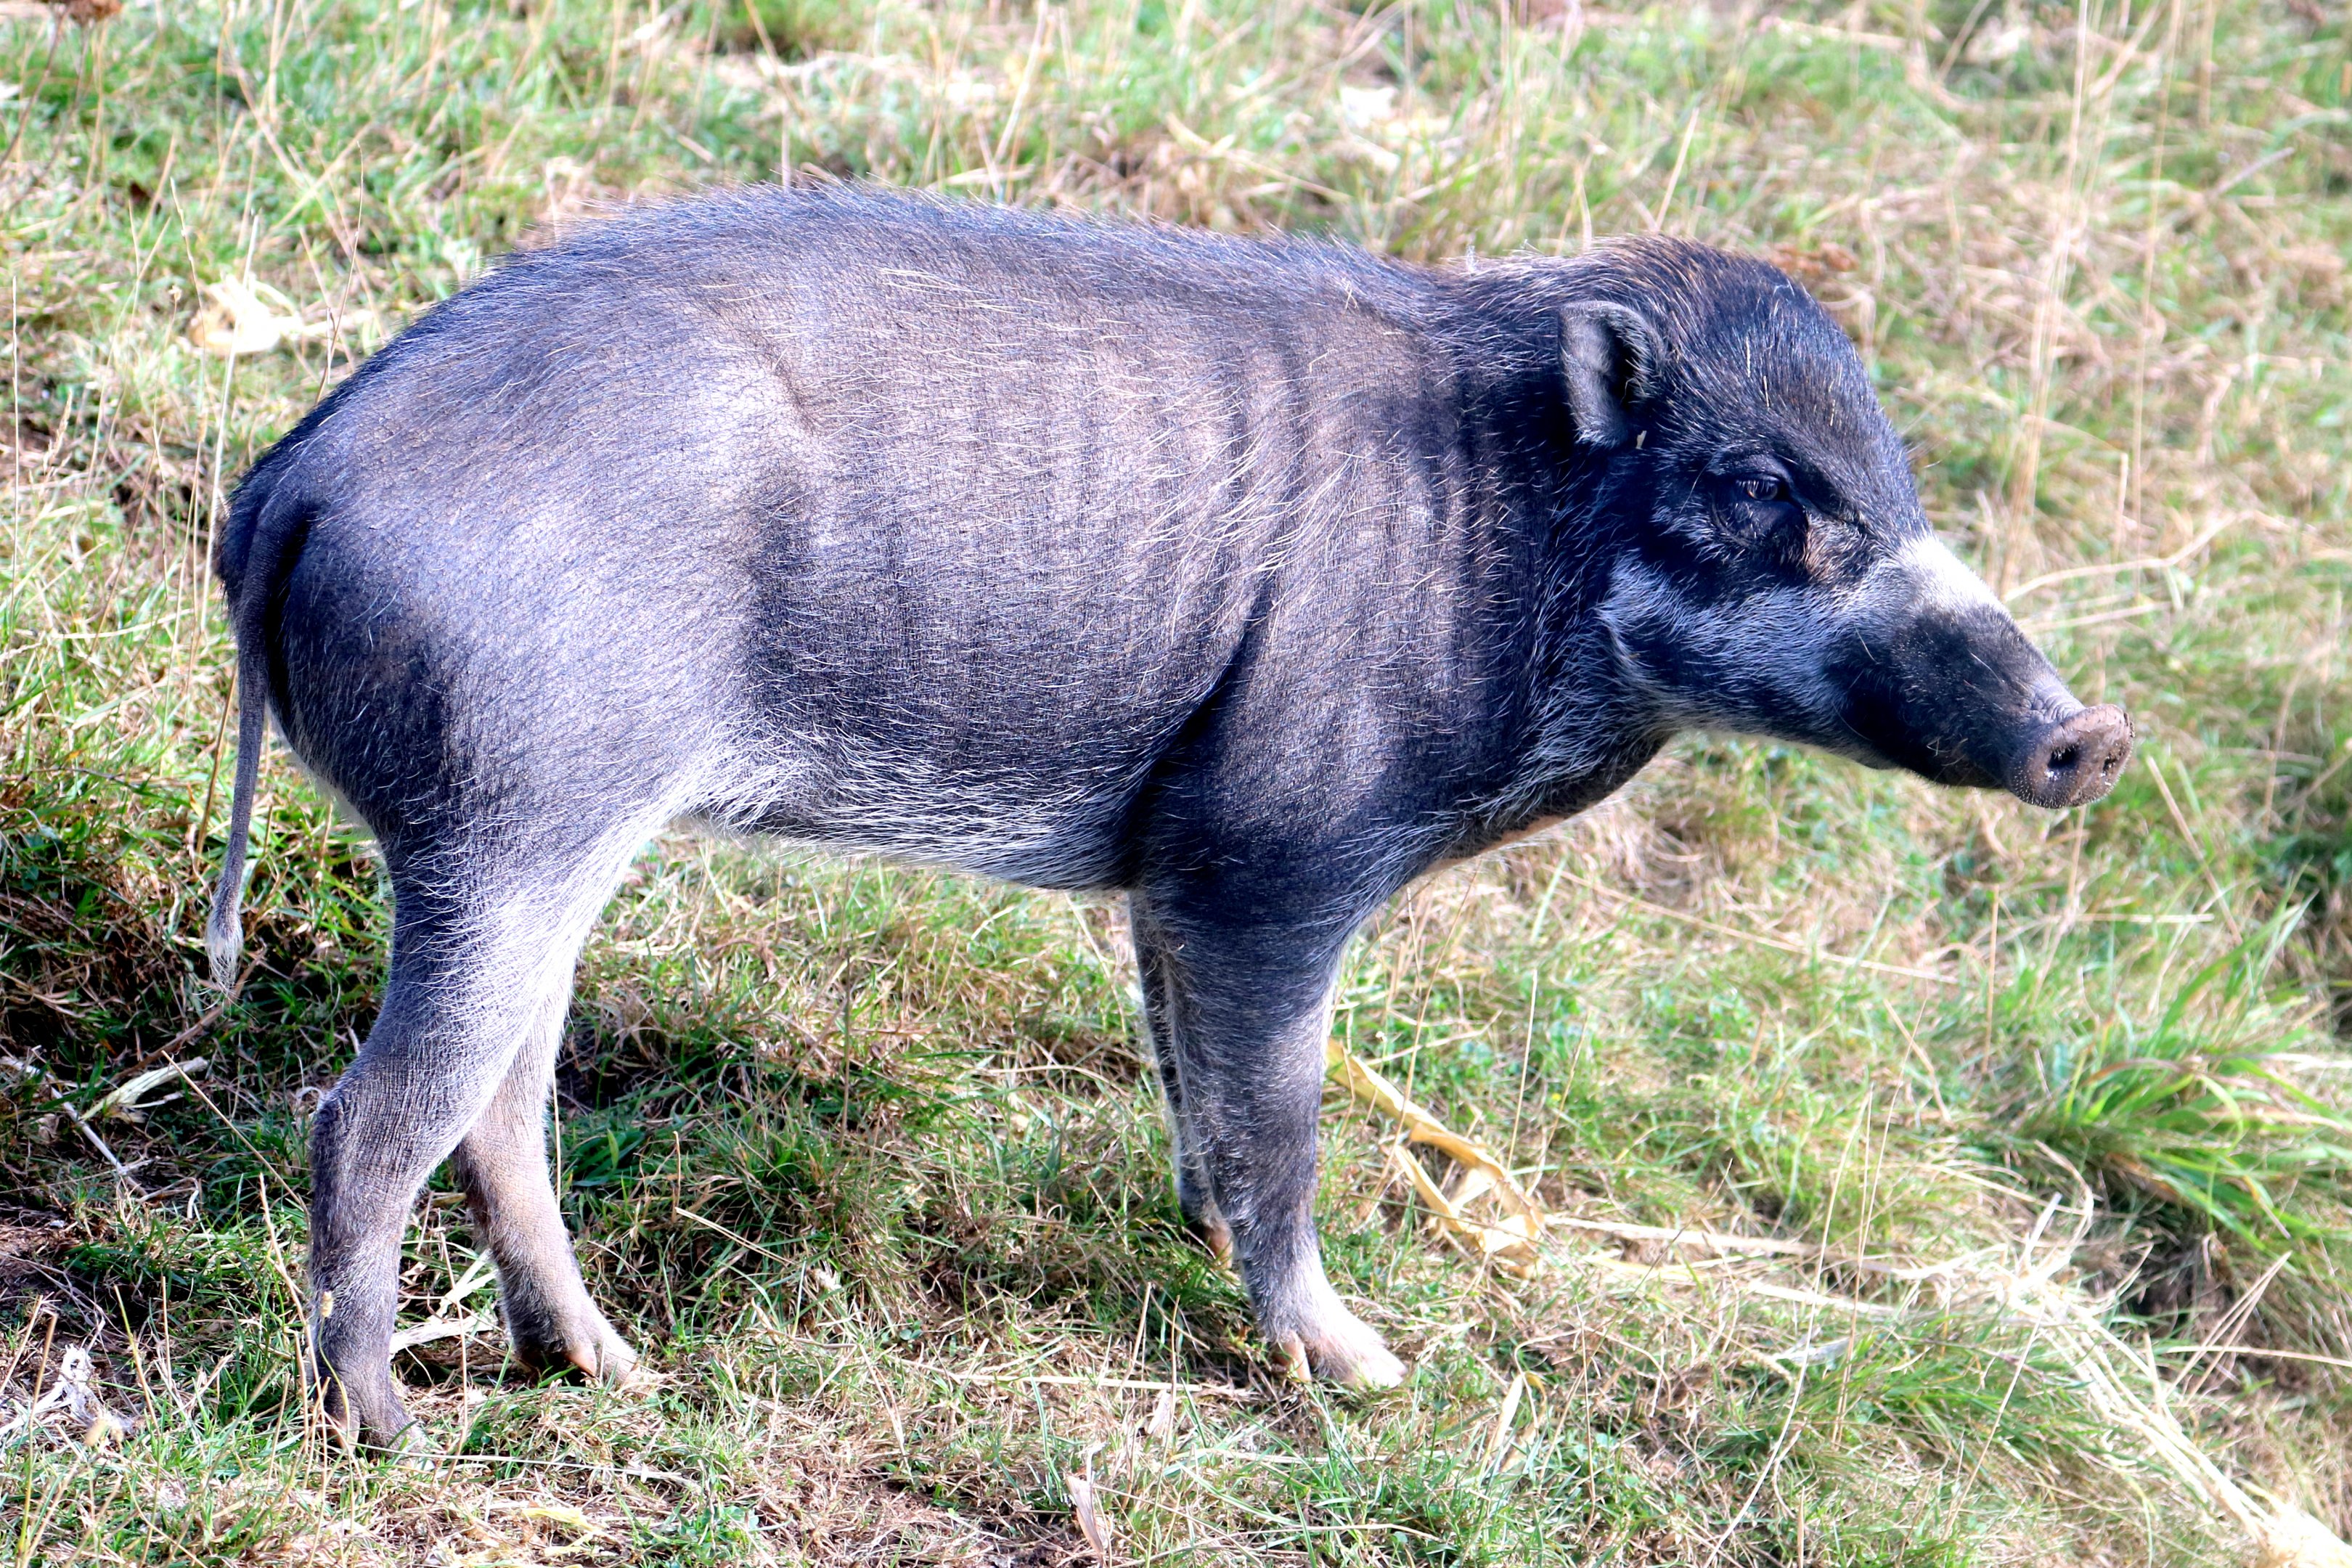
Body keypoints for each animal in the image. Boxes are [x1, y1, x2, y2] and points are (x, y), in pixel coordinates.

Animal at [205, 187, 2131, 1446]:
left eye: (1890, 475)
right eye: (1756, 484)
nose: (2089, 735)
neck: (1513, 536)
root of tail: (287, 482)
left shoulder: (1166, 872)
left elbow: (1196, 1099)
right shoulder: (1274, 854)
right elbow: (1281, 1123)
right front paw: (1370, 1372)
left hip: (542, 846)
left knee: (504, 1109)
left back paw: (616, 1374)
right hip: (504, 823)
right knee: (365, 1119)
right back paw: (391, 1427)